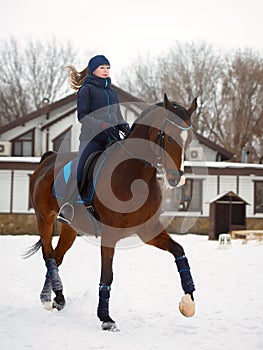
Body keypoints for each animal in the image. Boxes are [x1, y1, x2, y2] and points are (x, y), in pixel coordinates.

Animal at [28, 93, 198, 330]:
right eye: (168, 137)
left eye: (188, 139)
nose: (176, 179)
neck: (135, 175)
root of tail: (47, 159)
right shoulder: (110, 234)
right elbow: (107, 275)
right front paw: (106, 319)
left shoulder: (148, 231)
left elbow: (179, 250)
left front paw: (188, 302)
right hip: (44, 219)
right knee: (48, 256)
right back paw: (49, 298)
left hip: (70, 229)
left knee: (57, 257)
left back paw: (57, 299)